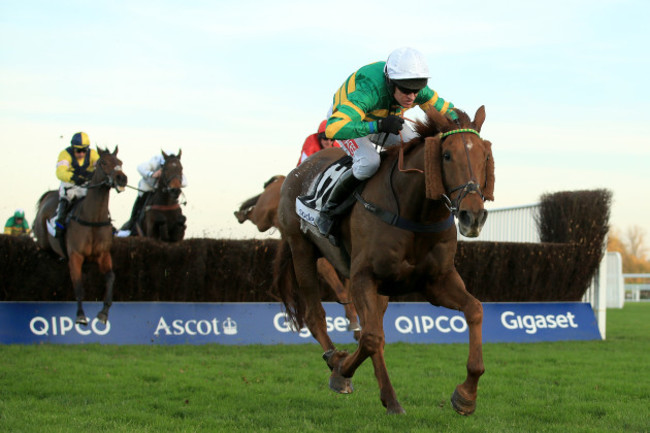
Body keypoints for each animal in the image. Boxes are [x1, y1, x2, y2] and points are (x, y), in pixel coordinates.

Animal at [235, 172, 362, 334]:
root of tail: (282, 179)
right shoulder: (320, 261)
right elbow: (340, 287)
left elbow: (348, 286)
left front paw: (354, 320)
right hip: (262, 218)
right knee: (252, 213)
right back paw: (240, 214)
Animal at [272, 106, 492, 414]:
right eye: (447, 155)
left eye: (485, 156)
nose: (473, 216)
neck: (415, 214)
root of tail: (297, 172)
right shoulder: (363, 276)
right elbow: (371, 337)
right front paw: (342, 370)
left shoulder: (436, 282)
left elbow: (475, 310)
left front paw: (466, 395)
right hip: (301, 249)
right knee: (317, 316)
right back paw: (337, 362)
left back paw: (390, 398)